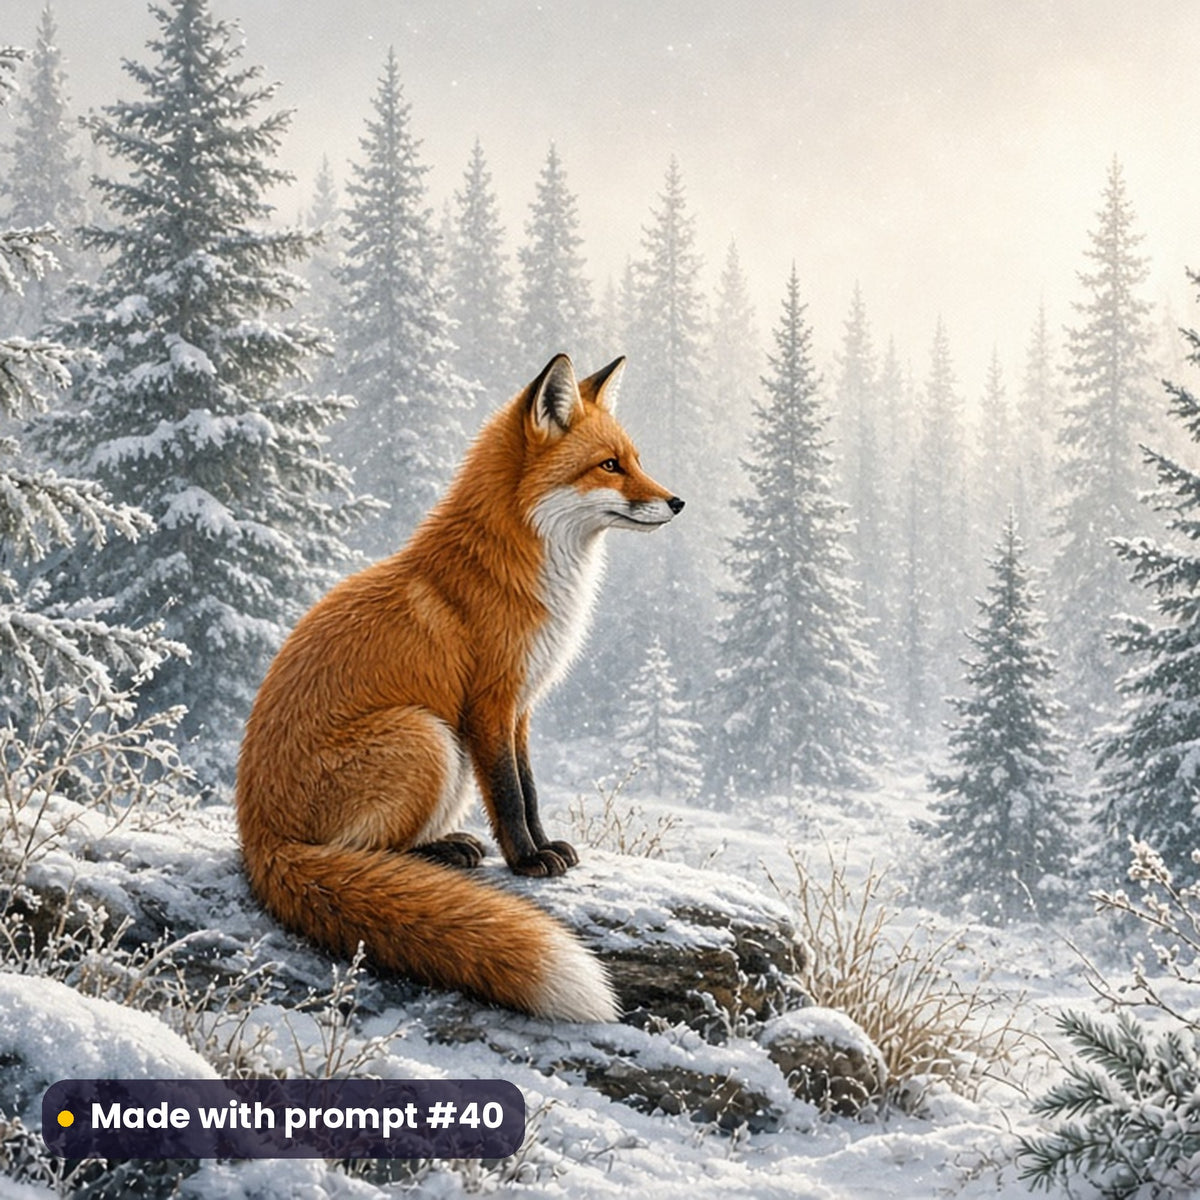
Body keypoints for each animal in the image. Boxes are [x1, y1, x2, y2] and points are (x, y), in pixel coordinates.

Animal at [236, 353, 683, 1022]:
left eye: (635, 458)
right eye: (610, 466)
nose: (678, 502)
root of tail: (258, 839)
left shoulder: (521, 706)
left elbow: (529, 788)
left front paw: (546, 847)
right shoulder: (489, 702)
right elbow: (507, 795)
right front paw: (527, 861)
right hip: (428, 735)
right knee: (361, 855)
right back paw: (438, 856)